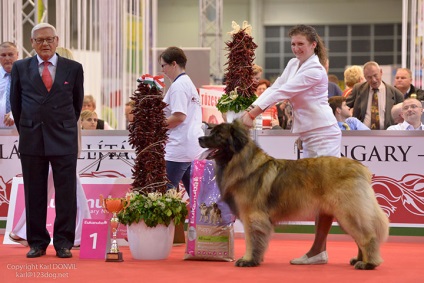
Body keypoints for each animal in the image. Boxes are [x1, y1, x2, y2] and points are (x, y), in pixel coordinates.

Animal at [200, 120, 390, 270]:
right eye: (211, 130)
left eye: (218, 135)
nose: (200, 138)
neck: (240, 162)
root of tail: (361, 168)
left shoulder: (252, 215)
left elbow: (251, 239)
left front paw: (247, 260)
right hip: (344, 213)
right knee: (360, 237)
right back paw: (359, 259)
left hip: (348, 212)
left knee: (367, 236)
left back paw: (368, 263)